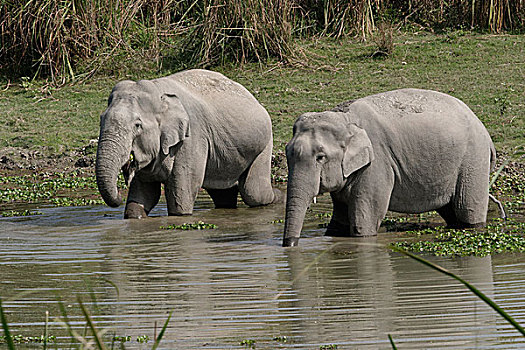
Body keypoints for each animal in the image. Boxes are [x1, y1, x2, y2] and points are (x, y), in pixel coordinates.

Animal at [96, 69, 280, 219]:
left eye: (137, 125)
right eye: (101, 120)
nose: (120, 194)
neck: (158, 93)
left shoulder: (191, 138)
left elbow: (181, 197)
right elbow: (144, 194)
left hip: (263, 144)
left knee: (254, 192)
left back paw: (278, 196)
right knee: (224, 194)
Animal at [282, 87, 504, 246]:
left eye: (320, 157)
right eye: (287, 153)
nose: (289, 244)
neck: (344, 118)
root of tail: (486, 134)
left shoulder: (377, 164)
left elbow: (365, 221)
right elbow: (339, 221)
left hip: (473, 160)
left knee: (467, 210)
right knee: (450, 211)